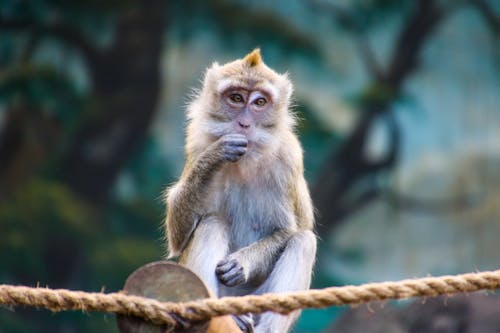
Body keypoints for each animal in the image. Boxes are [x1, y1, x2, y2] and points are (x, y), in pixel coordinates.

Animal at [166, 49, 316, 332]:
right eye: (236, 98)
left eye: (259, 102)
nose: (244, 124)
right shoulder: (196, 142)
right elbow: (178, 238)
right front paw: (216, 155)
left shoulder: (288, 160)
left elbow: (287, 231)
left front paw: (242, 264)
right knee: (212, 223)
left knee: (304, 241)